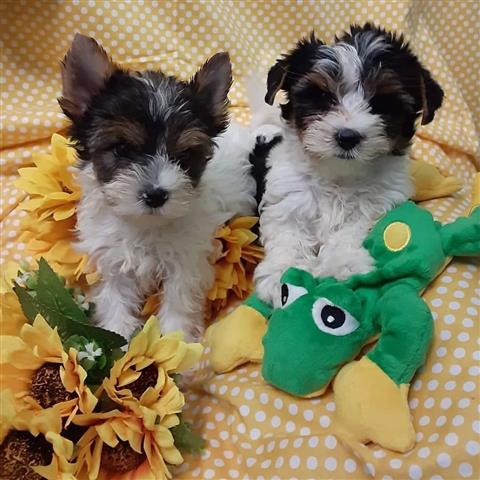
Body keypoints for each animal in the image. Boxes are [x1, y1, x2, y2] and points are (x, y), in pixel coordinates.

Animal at [59, 33, 258, 340]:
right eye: (121, 149)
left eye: (184, 156)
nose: (155, 195)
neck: (145, 224)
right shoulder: (111, 257)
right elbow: (114, 294)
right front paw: (116, 333)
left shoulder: (187, 257)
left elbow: (179, 296)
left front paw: (176, 340)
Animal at [253, 24, 444, 306]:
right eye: (322, 96)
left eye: (382, 103)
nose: (347, 137)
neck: (339, 176)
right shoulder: (289, 198)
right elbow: (288, 233)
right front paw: (282, 273)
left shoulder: (378, 202)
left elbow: (351, 230)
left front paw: (341, 263)